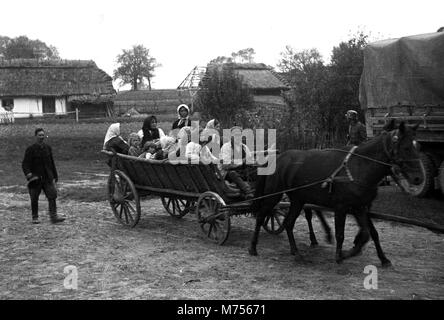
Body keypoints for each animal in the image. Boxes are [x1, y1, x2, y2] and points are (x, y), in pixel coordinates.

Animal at [250, 121, 424, 266]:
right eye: (406, 147)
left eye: (418, 147)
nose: (418, 178)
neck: (360, 166)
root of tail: (278, 157)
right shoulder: (342, 207)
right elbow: (341, 234)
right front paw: (341, 255)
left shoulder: (361, 207)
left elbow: (369, 233)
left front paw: (379, 257)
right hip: (273, 195)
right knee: (261, 216)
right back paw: (253, 248)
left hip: (297, 200)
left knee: (288, 223)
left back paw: (296, 252)